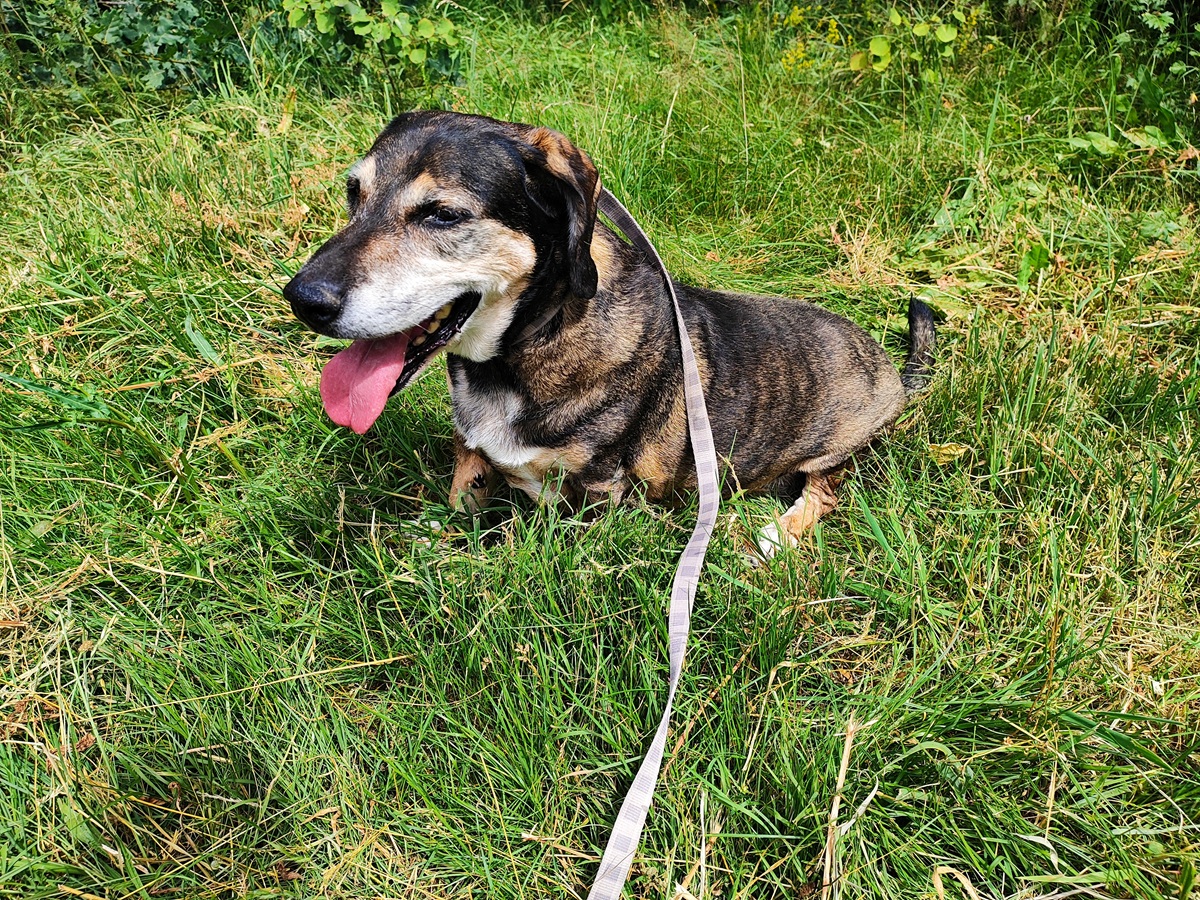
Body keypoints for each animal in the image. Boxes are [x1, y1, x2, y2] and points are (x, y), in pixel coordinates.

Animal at [283, 111, 935, 553]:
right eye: (353, 192)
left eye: (443, 214)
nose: (303, 300)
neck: (530, 343)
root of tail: (889, 366)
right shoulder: (472, 453)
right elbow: (461, 493)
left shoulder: (598, 494)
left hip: (839, 445)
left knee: (826, 491)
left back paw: (779, 533)